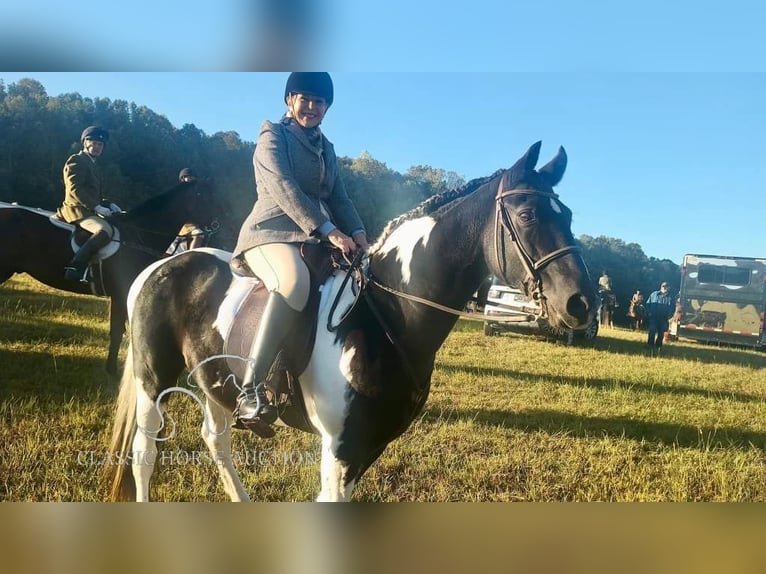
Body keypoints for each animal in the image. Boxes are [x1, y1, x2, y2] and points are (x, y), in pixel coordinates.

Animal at [0, 182, 222, 376]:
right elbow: (118, 331)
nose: (216, 226)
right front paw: (113, 372)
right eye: (206, 196)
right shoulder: (121, 294)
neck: (139, 235)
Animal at [108, 144, 600, 504]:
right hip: (153, 380)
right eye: (528, 215)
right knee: (144, 454)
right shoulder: (340, 447)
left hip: (215, 382)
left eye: (569, 216)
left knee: (216, 441)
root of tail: (162, 265)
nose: (582, 303)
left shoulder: (370, 445)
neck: (388, 316)